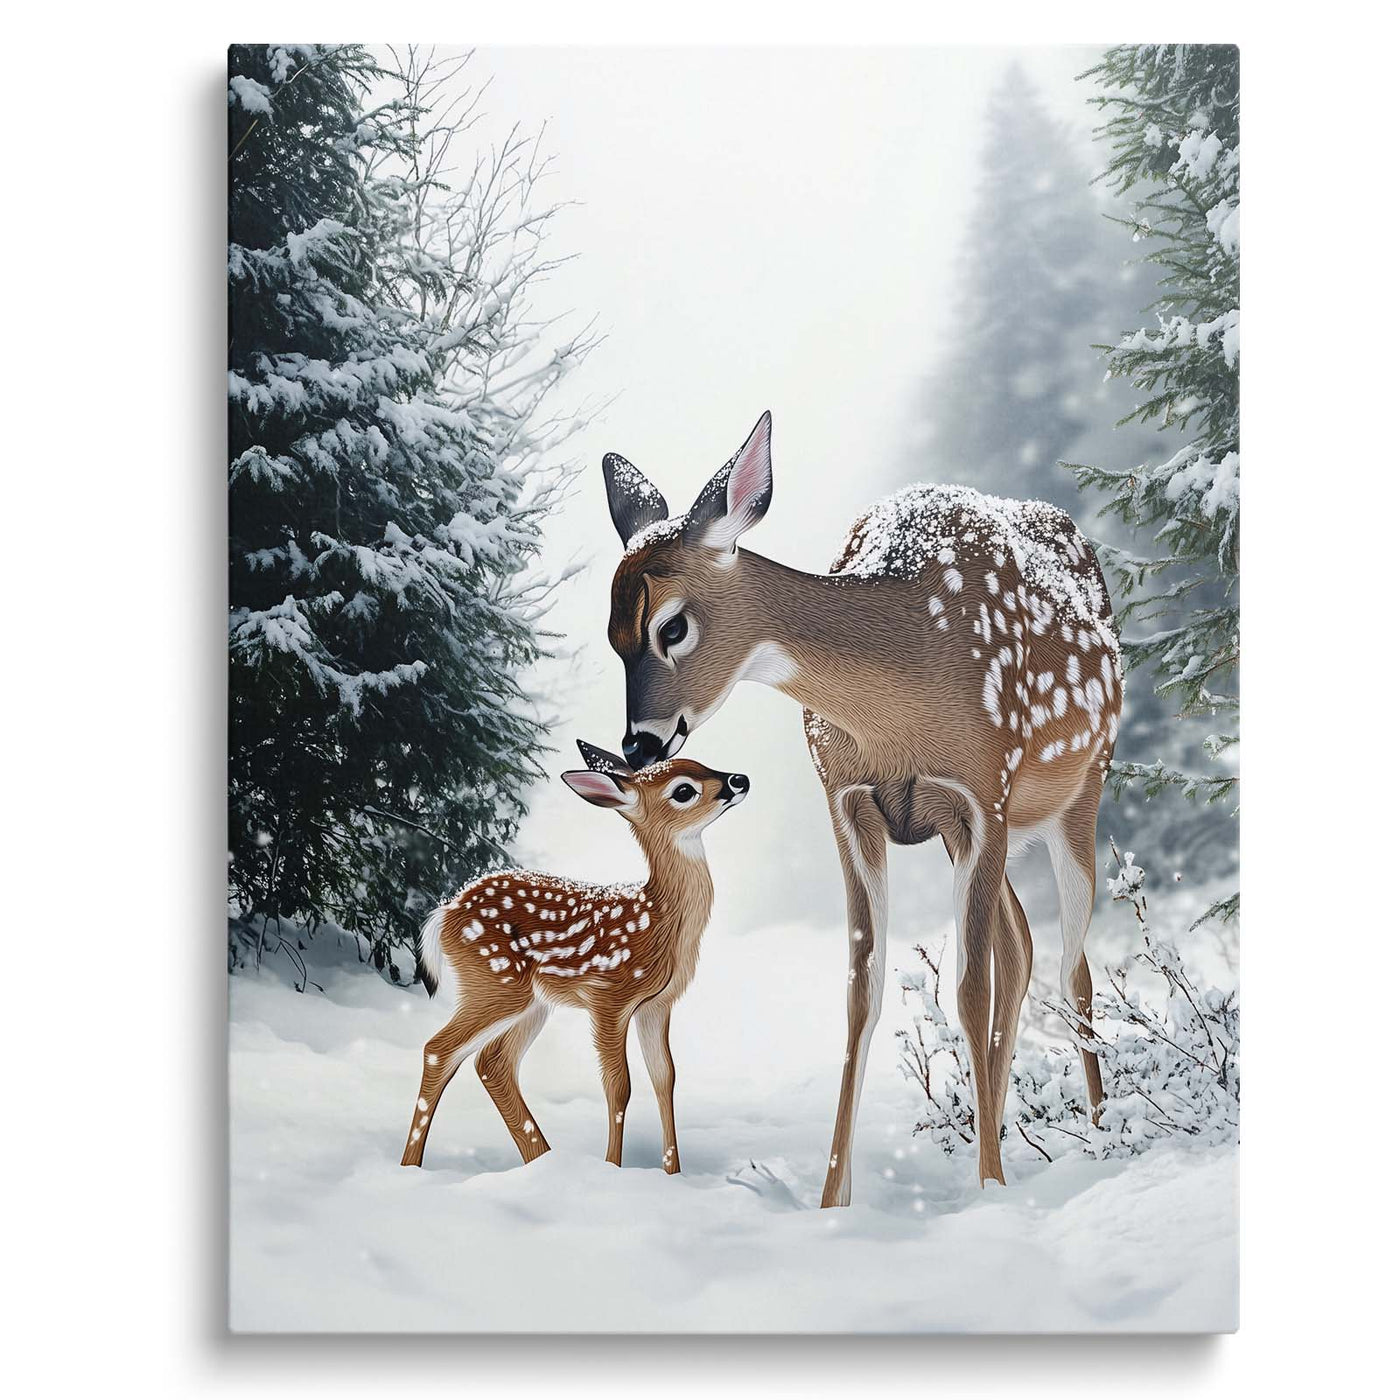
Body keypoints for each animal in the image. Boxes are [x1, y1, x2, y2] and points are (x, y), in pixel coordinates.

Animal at [401, 742, 749, 1175]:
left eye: (701, 763)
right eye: (684, 790)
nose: (741, 779)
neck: (660, 920)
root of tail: (445, 911)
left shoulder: (658, 1004)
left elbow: (664, 1078)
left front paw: (673, 1173)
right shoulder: (609, 996)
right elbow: (619, 1085)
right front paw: (613, 1168)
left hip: (531, 1002)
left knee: (492, 1063)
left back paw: (543, 1160)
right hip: (495, 980)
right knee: (439, 1049)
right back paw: (411, 1167)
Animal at [601, 410, 1123, 1206]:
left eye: (672, 626)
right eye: (611, 634)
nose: (638, 745)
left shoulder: (981, 787)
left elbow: (967, 991)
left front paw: (987, 1188)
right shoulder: (850, 800)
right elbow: (861, 992)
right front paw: (832, 1202)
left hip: (1077, 791)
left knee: (1071, 968)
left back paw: (1094, 1140)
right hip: (978, 830)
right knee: (1022, 947)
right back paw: (1006, 1137)